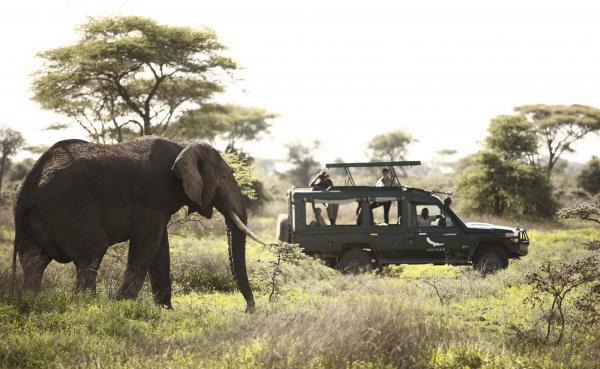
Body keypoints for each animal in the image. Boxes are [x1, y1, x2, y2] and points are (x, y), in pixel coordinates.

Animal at [9, 135, 264, 310]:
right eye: (223, 177)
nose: (248, 310)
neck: (182, 145)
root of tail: (26, 189)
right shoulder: (154, 194)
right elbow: (147, 244)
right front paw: (121, 306)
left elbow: (160, 248)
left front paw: (165, 311)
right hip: (68, 206)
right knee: (92, 251)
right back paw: (87, 306)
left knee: (34, 261)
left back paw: (32, 302)